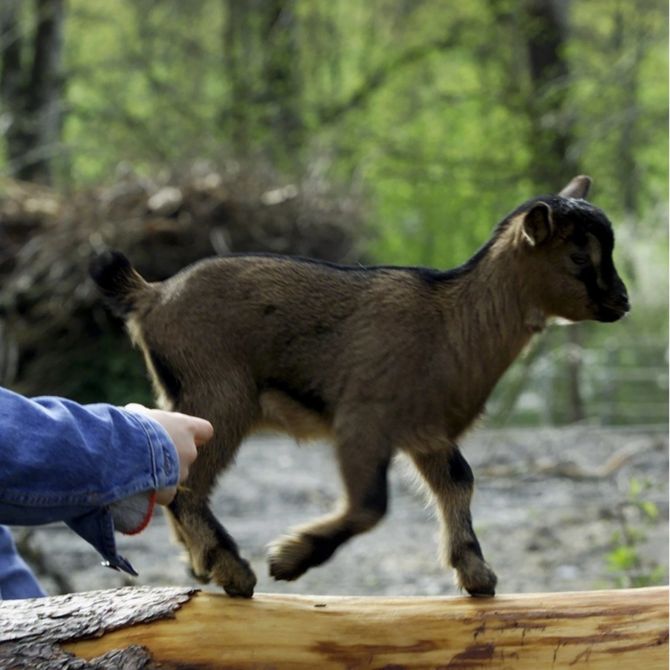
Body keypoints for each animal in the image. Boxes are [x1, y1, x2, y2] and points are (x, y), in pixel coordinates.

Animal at [92, 176, 632, 600]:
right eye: (579, 256)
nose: (622, 302)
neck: (452, 321)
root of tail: (152, 294)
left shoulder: (426, 432)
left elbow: (459, 481)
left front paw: (477, 574)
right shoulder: (364, 421)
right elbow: (372, 505)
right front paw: (290, 558)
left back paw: (201, 564)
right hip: (220, 398)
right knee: (187, 487)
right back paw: (233, 570)